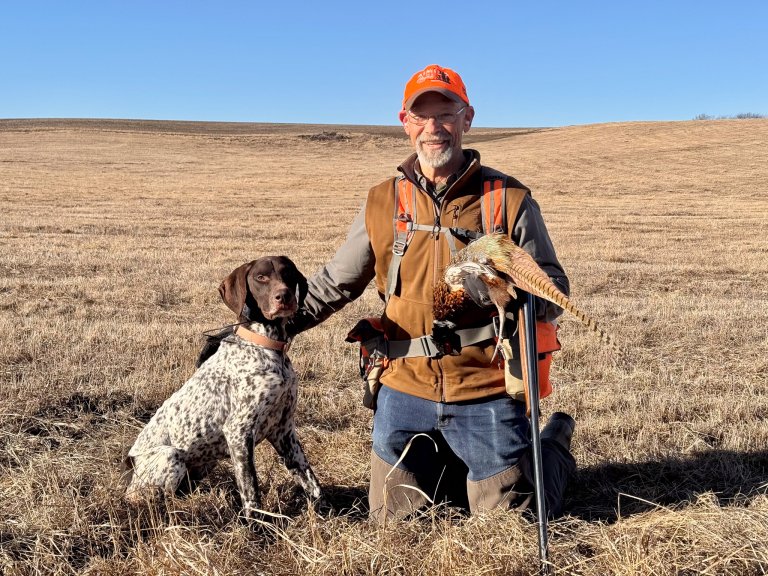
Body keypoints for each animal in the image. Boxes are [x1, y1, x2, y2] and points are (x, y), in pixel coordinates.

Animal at [124, 256, 322, 516]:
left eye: (288, 273)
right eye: (260, 277)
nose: (284, 296)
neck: (265, 344)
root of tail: (130, 466)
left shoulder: (283, 429)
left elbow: (310, 480)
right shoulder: (238, 431)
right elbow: (250, 489)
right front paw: (257, 523)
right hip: (171, 455)